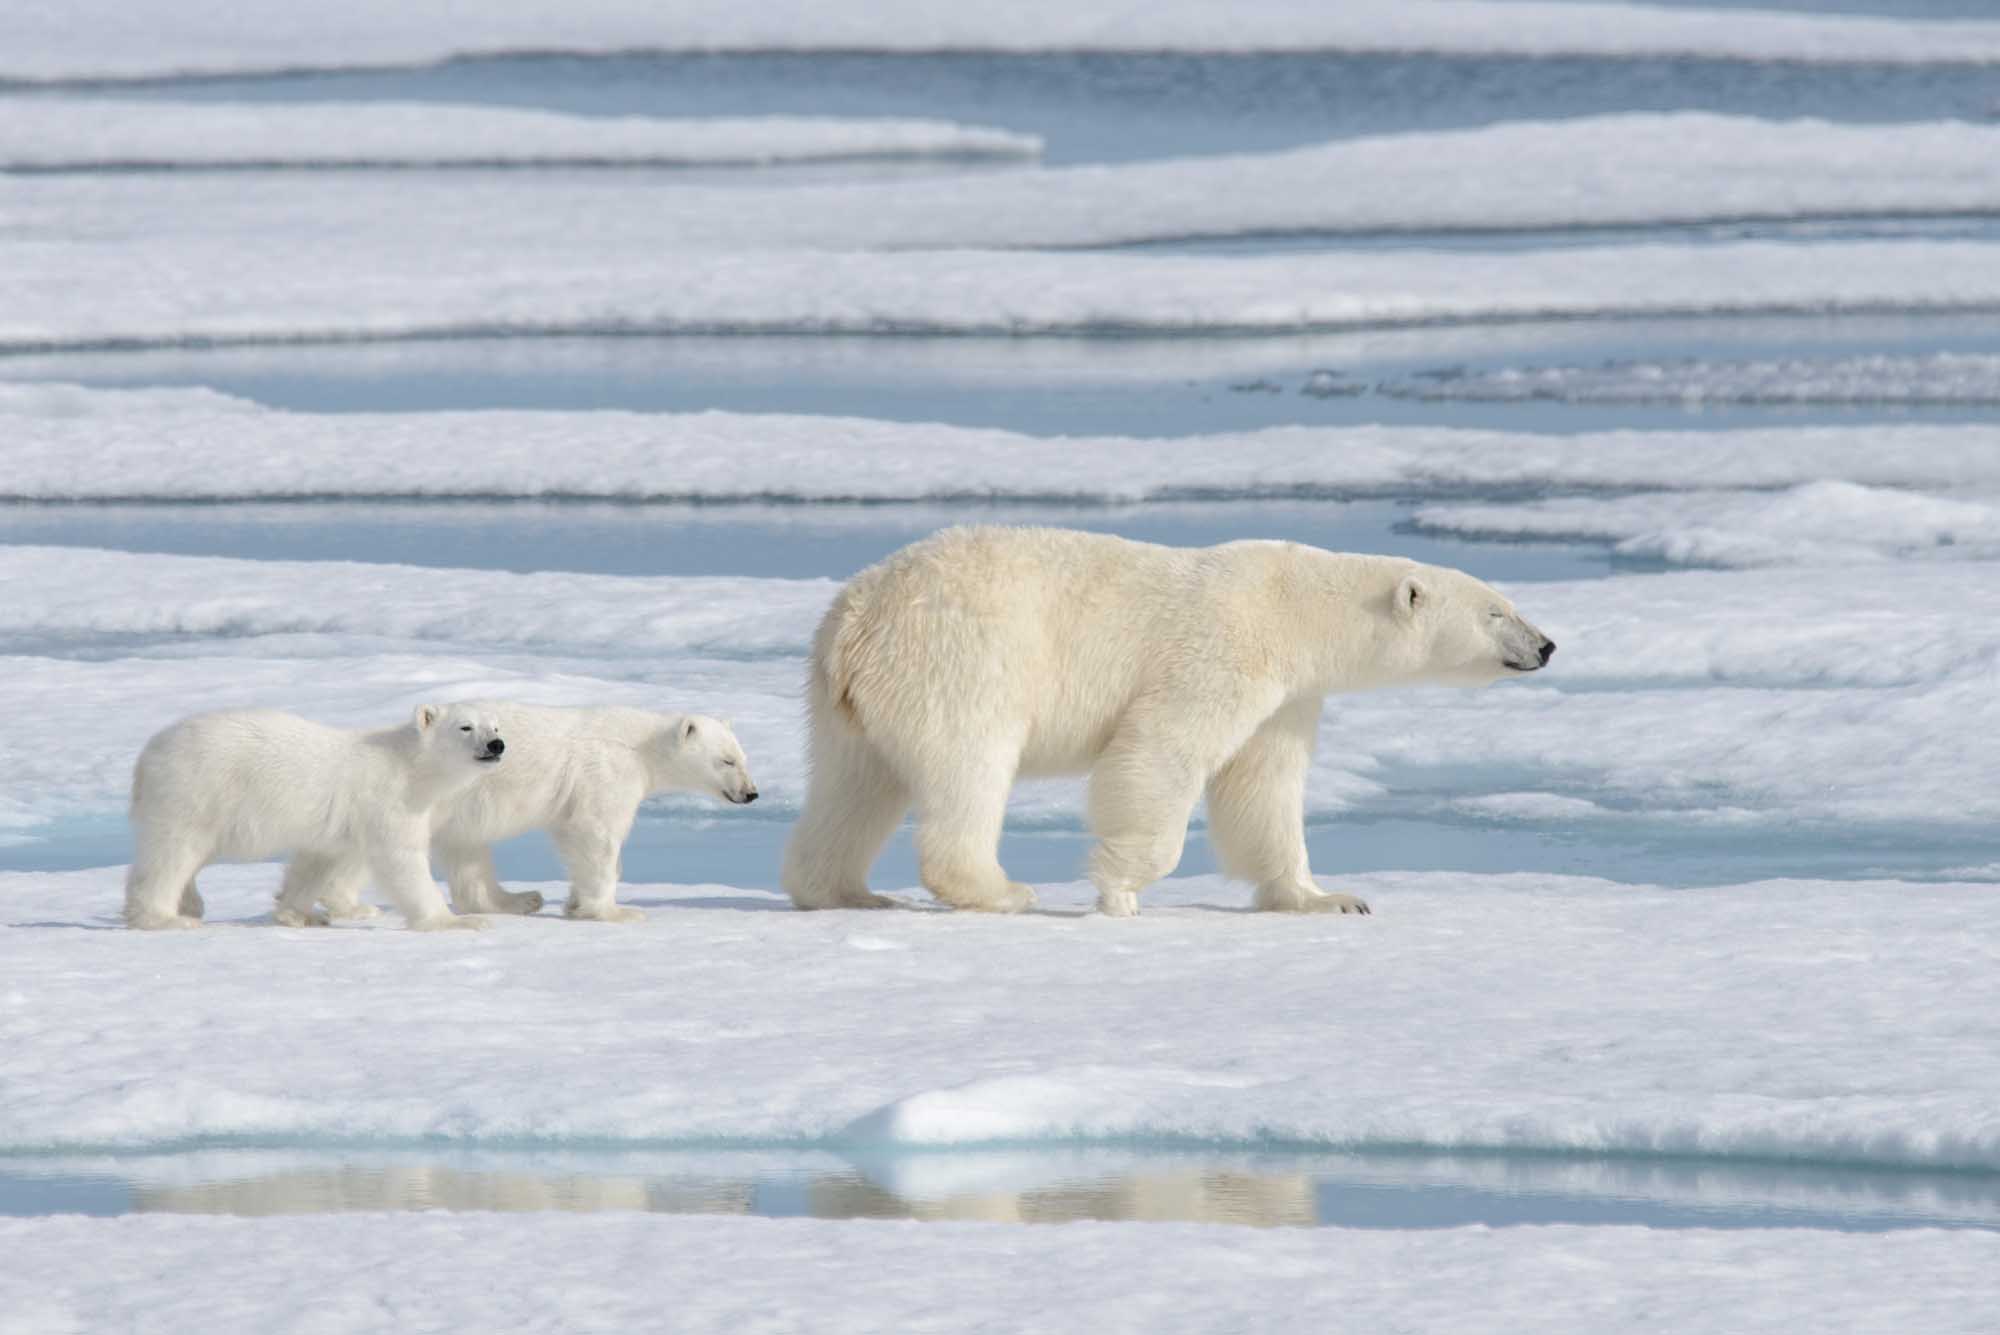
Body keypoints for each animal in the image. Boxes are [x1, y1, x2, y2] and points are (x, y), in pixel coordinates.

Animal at [123, 702, 505, 931]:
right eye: (465, 727)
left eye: (496, 726)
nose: (496, 746)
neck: (412, 767)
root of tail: (145, 758)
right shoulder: (389, 800)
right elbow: (401, 859)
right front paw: (456, 921)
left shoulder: (341, 821)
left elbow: (317, 862)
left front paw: (301, 913)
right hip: (195, 792)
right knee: (172, 854)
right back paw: (164, 917)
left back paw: (190, 903)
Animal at [365, 703, 759, 925]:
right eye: (726, 760)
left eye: (743, 758)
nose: (751, 793)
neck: (642, 746)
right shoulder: (606, 772)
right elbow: (596, 833)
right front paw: (614, 912)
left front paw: (575, 903)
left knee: (468, 851)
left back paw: (519, 899)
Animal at [780, 526, 1554, 917]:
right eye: (1497, 611)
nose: (1546, 645)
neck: (1296, 609)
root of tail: (859, 618)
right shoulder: (1223, 651)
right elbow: (1161, 752)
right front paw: (1118, 887)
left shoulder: (1286, 697)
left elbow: (1265, 788)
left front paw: (1329, 898)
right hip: (963, 658)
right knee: (969, 768)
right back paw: (999, 889)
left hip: (847, 698)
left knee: (854, 785)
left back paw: (844, 890)